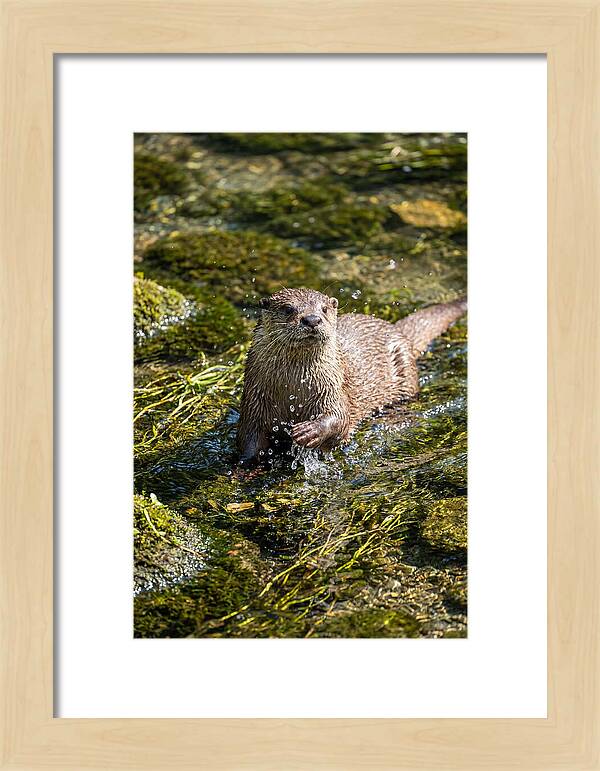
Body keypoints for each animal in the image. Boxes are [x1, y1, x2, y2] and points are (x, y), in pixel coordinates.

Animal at [236, 287, 466, 463]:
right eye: (288, 309)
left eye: (324, 309)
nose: (312, 319)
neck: (294, 389)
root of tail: (396, 329)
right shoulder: (254, 402)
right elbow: (249, 440)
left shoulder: (333, 388)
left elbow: (340, 418)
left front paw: (309, 431)